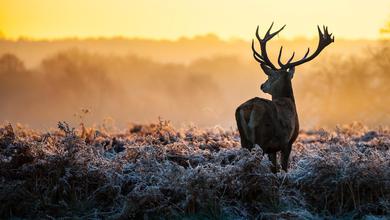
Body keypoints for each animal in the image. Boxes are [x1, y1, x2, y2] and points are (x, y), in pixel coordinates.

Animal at [236, 22, 334, 174]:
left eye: (270, 76)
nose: (262, 85)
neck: (289, 101)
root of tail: (250, 108)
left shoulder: (273, 148)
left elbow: (274, 168)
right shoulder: (287, 142)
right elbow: (283, 168)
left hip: (244, 140)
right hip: (262, 139)